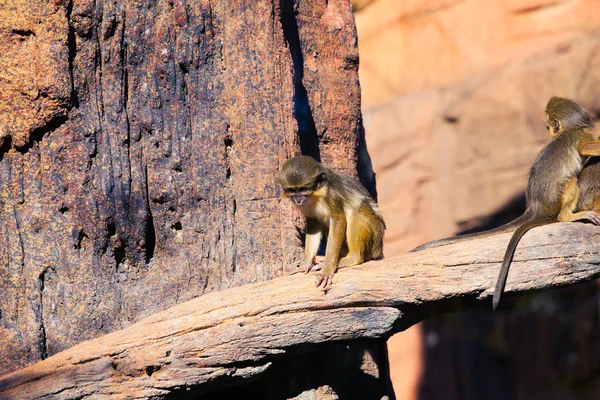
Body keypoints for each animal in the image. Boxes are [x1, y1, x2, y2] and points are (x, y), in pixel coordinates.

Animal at [276, 155, 384, 290]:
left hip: (374, 235)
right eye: (292, 190)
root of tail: (379, 249)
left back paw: (352, 258)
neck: (315, 196)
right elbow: (313, 223)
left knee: (357, 209)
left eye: (303, 189)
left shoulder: (332, 195)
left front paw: (327, 269)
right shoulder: (309, 213)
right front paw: (307, 262)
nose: (298, 199)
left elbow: (339, 219)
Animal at [410, 97, 600, 310]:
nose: (546, 127)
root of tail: (536, 207)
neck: (572, 127)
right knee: (570, 182)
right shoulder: (581, 136)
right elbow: (586, 147)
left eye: (549, 123)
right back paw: (568, 216)